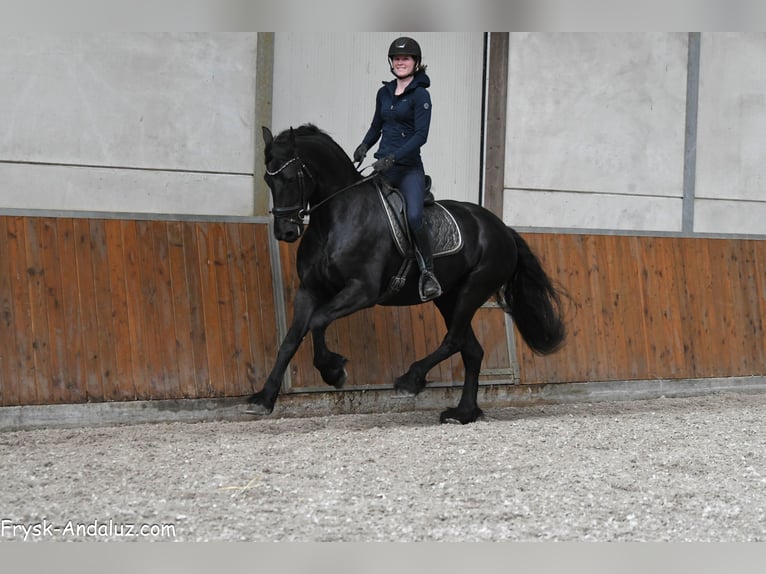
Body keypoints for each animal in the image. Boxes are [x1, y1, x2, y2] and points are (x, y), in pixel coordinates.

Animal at [247, 123, 566, 424]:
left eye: (291, 178)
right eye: (267, 180)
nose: (285, 232)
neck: (336, 219)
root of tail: (503, 228)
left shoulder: (362, 291)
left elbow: (318, 320)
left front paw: (333, 371)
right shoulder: (310, 289)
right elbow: (290, 339)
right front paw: (263, 399)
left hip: (473, 290)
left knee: (453, 341)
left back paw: (410, 381)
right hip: (448, 298)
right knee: (471, 350)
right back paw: (462, 412)